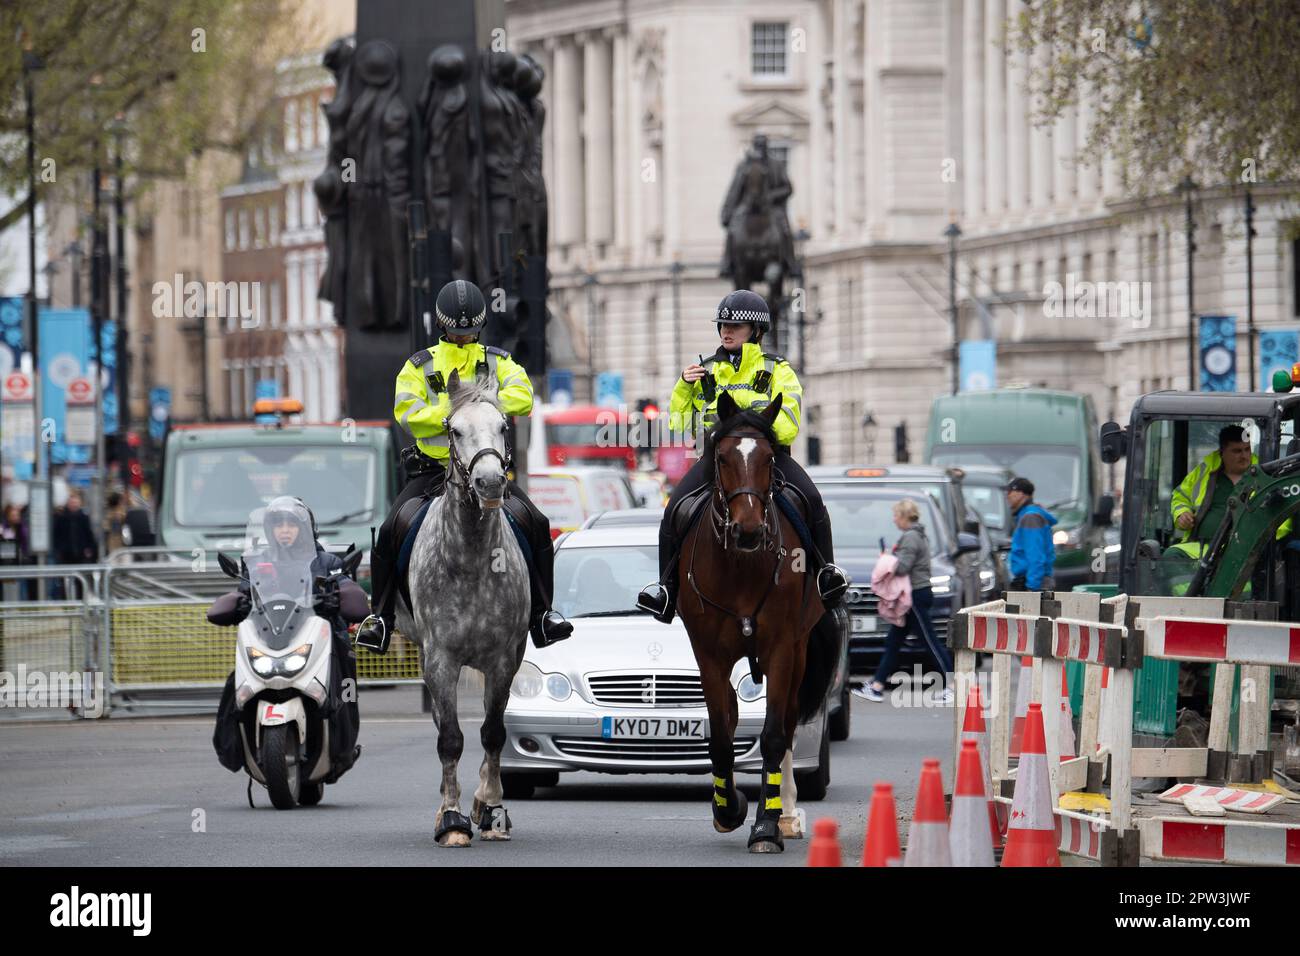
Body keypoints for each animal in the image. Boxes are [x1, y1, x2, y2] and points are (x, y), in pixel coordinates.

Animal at [400, 369, 533, 848]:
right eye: (454, 430)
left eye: (503, 426)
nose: (491, 483)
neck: (473, 558)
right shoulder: (441, 659)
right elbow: (451, 740)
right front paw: (453, 820)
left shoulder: (504, 659)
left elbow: (493, 733)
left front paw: (489, 808)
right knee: (444, 724)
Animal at [676, 392, 837, 858]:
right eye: (723, 456)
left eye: (768, 457)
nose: (747, 530)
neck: (741, 566)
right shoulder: (708, 655)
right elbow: (721, 735)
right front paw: (728, 809)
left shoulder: (781, 649)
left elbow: (772, 737)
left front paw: (766, 825)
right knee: (732, 713)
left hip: (799, 652)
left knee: (786, 723)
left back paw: (784, 814)